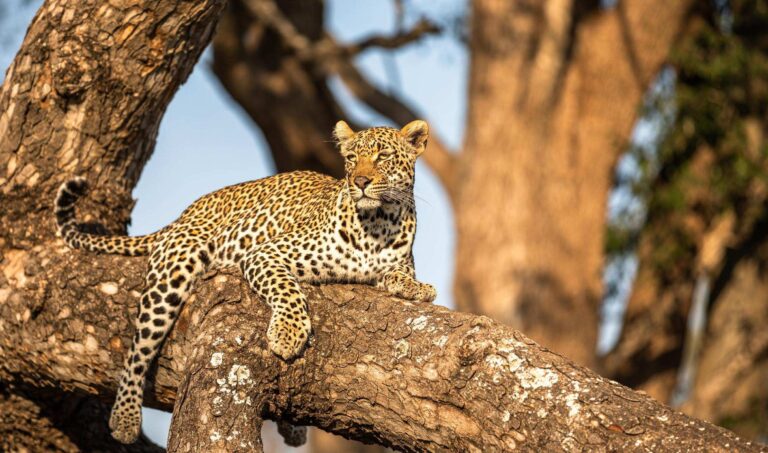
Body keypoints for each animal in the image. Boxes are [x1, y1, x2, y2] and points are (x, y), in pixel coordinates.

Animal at [54, 119, 438, 444]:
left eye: (382, 156)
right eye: (352, 159)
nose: (359, 182)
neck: (378, 223)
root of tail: (184, 214)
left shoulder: (397, 262)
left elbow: (400, 276)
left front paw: (418, 288)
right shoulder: (264, 254)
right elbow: (288, 290)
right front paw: (288, 333)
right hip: (174, 273)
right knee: (138, 350)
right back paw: (124, 417)